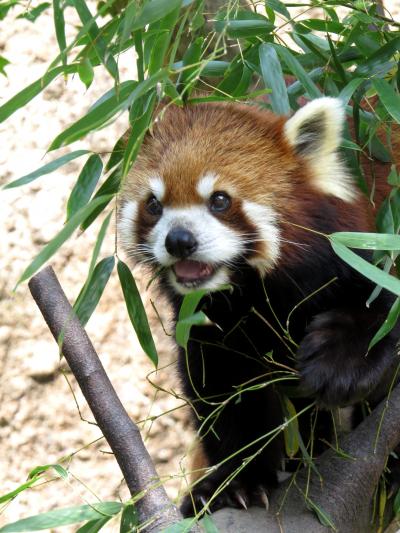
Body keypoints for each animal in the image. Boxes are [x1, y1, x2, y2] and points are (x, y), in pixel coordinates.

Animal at [119, 96, 400, 516]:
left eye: (219, 200)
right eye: (154, 204)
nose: (179, 240)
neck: (249, 292)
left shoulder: (364, 249)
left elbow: (377, 313)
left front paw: (339, 366)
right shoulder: (211, 326)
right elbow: (227, 398)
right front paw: (240, 481)